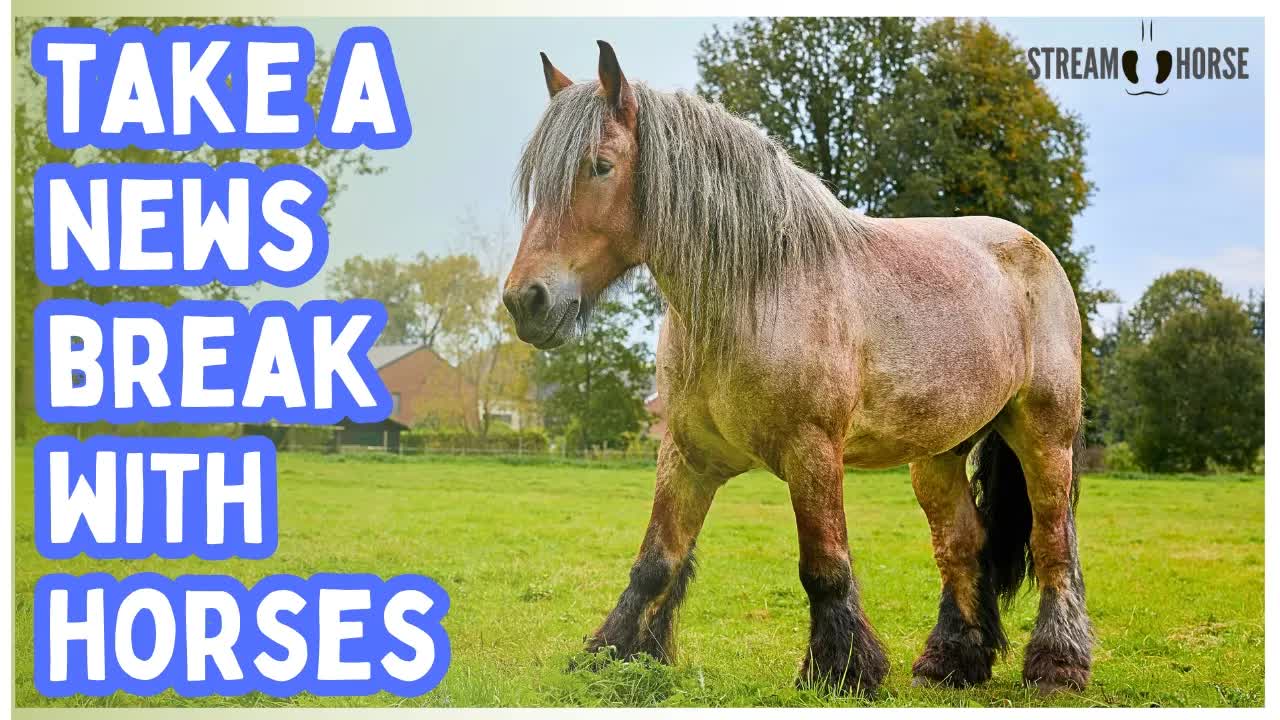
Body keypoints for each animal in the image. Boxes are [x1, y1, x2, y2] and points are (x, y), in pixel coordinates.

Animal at [502, 41, 1092, 695]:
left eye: (601, 166)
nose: (527, 301)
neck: (756, 293)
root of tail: (1034, 250)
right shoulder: (686, 455)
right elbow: (656, 561)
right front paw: (612, 656)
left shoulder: (813, 453)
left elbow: (824, 565)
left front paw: (843, 669)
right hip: (937, 454)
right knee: (962, 543)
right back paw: (951, 661)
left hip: (1044, 436)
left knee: (1053, 541)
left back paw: (1058, 664)